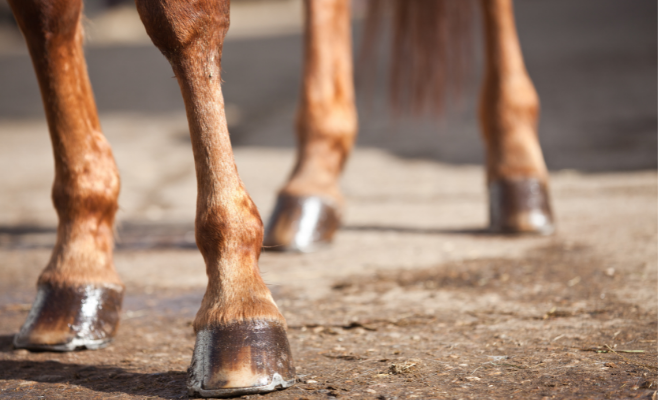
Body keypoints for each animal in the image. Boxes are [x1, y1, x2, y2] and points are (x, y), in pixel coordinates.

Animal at [5, 0, 552, 396]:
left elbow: (180, 17)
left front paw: (237, 301)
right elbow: (46, 16)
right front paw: (77, 270)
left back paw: (519, 174)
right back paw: (313, 183)